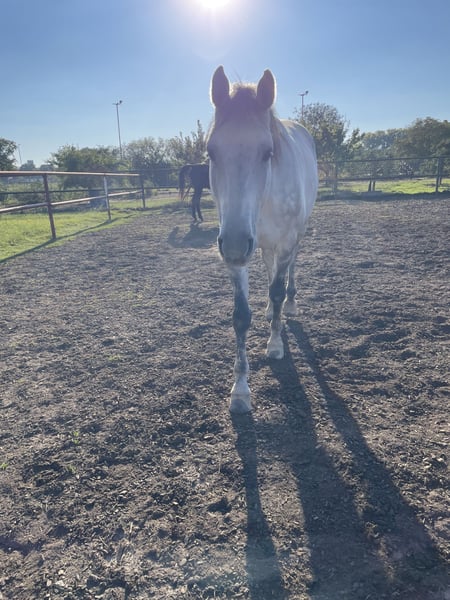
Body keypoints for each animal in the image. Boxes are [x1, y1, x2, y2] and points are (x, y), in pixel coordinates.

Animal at [207, 66, 318, 413]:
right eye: (211, 152)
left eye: (268, 153)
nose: (233, 245)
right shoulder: (237, 249)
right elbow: (241, 317)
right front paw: (240, 390)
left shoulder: (283, 242)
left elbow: (278, 290)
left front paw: (275, 344)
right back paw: (271, 312)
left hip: (295, 237)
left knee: (288, 275)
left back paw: (288, 307)